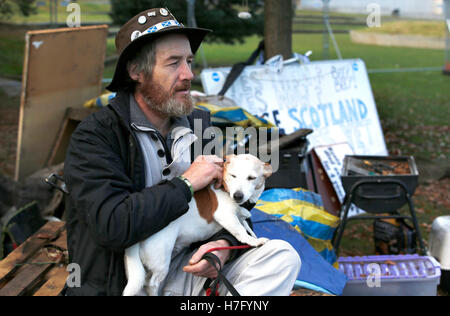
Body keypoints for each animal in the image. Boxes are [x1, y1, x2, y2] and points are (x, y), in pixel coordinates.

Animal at [121, 154, 272, 298]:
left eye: (251, 178)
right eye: (233, 175)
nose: (237, 196)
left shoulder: (239, 216)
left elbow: (246, 226)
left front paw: (253, 236)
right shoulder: (225, 215)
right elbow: (241, 231)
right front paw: (254, 241)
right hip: (161, 261)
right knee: (151, 283)